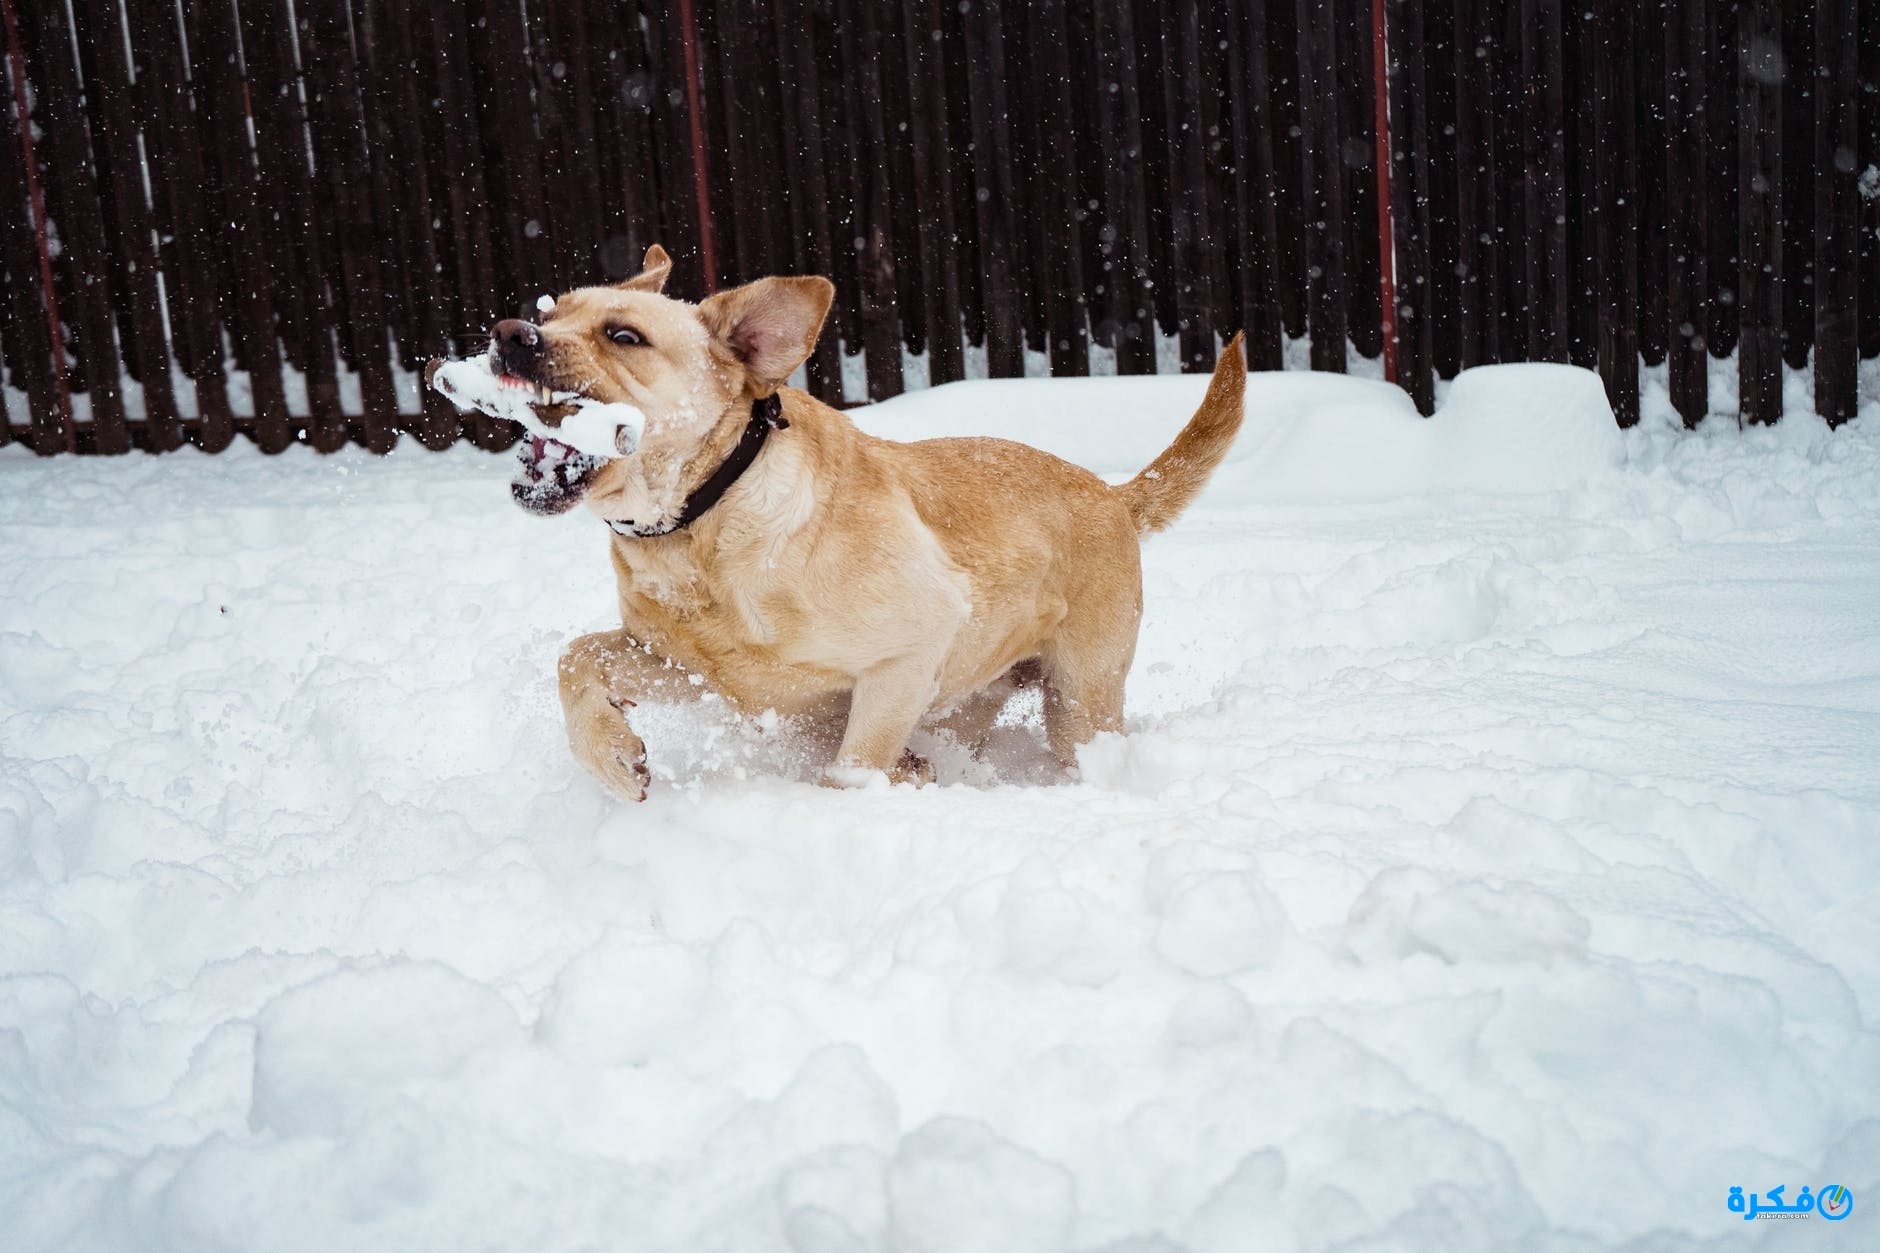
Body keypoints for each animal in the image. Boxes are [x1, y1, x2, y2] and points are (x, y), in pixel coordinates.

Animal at [492, 244, 1240, 793]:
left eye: (624, 335)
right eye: (551, 310)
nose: (510, 334)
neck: (708, 522)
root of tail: (1114, 496)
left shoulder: (910, 651)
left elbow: (854, 766)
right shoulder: (696, 669)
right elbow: (576, 657)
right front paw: (615, 757)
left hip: (1080, 699)